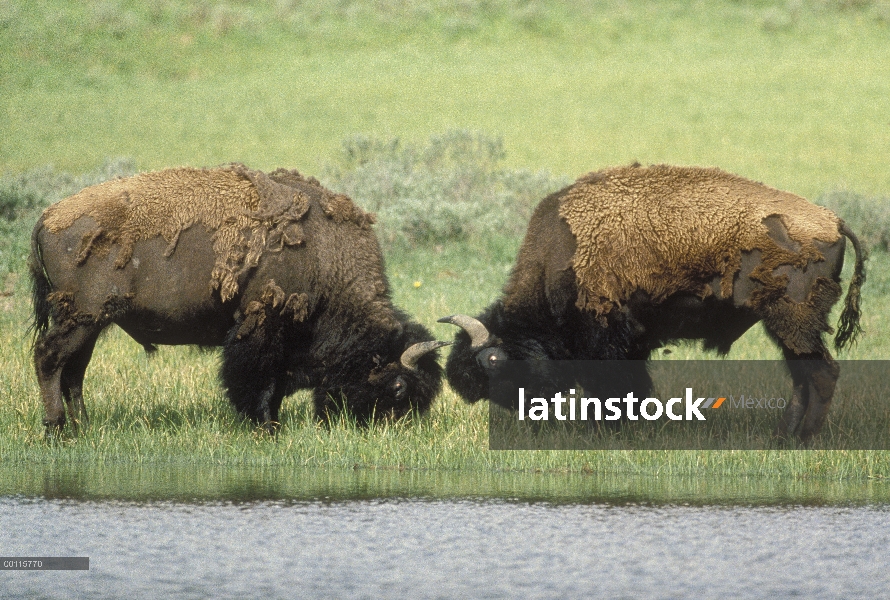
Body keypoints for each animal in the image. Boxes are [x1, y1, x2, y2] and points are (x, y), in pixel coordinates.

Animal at [31, 164, 448, 434]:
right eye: (399, 387)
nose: (392, 429)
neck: (324, 256)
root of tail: (48, 216)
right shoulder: (261, 327)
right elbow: (256, 380)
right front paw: (266, 428)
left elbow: (273, 383)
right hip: (82, 316)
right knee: (49, 358)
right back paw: (55, 428)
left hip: (90, 323)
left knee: (74, 371)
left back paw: (83, 426)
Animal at [440, 163, 864, 440]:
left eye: (493, 360)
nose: (525, 412)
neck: (563, 252)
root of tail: (834, 221)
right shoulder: (634, 341)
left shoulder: (606, 339)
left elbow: (613, 387)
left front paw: (609, 431)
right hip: (788, 328)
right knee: (803, 377)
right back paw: (782, 435)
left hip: (792, 322)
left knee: (820, 374)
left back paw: (800, 438)